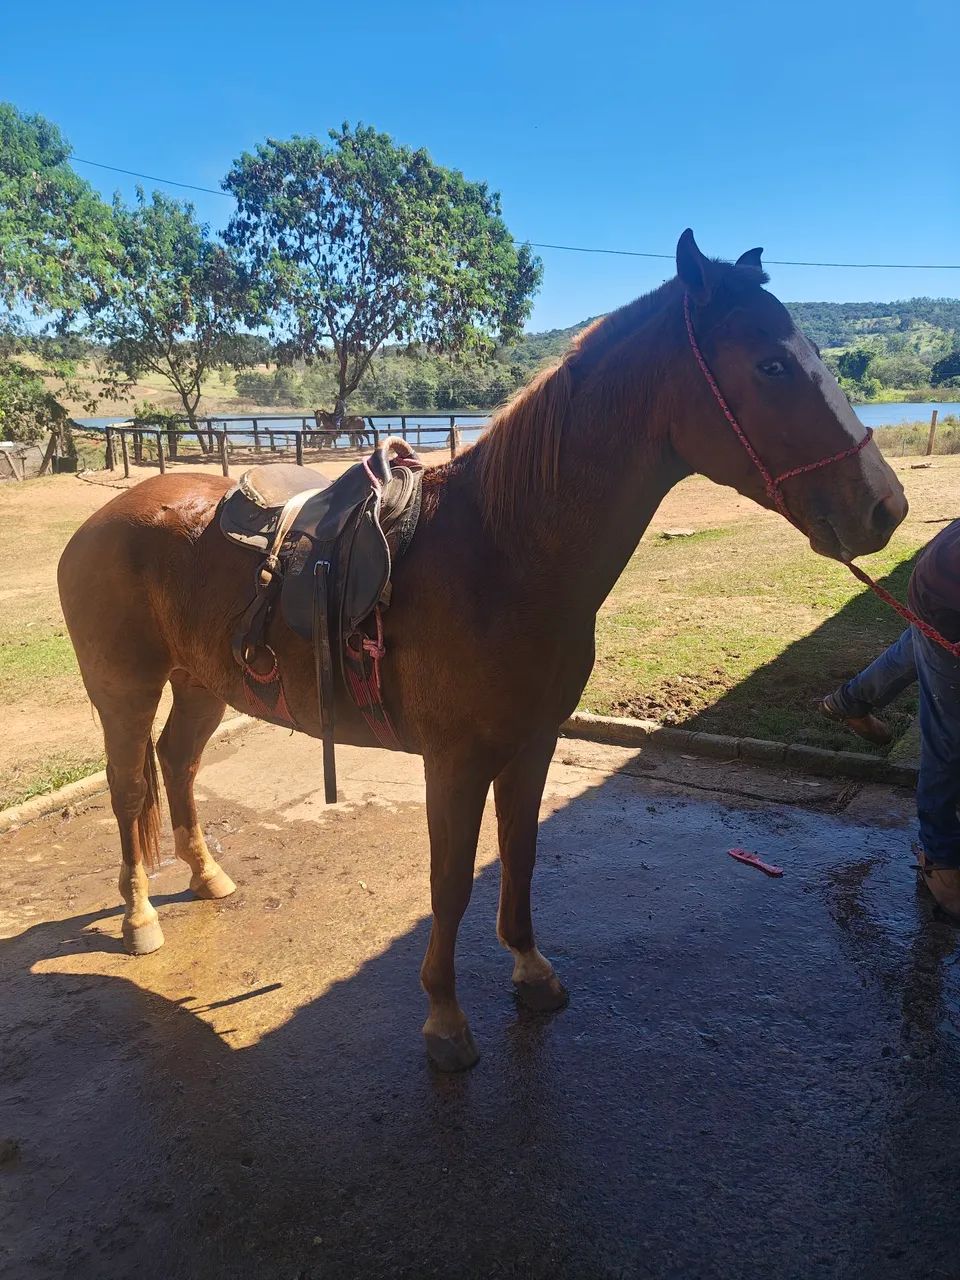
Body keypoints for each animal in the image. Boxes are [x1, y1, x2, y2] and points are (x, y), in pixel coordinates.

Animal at [58, 231, 907, 1071]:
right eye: (770, 365)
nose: (885, 507)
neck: (503, 552)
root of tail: (102, 519)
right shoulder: (456, 761)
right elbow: (451, 881)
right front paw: (444, 1017)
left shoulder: (531, 743)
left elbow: (519, 854)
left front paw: (530, 969)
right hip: (124, 692)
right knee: (129, 790)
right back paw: (139, 918)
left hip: (203, 682)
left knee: (178, 763)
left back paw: (207, 877)